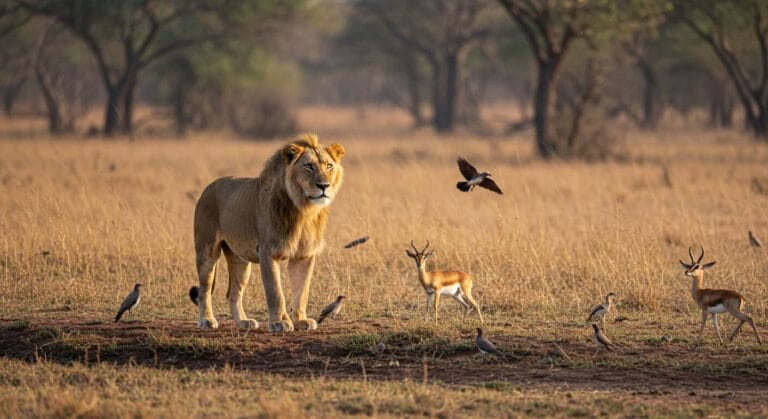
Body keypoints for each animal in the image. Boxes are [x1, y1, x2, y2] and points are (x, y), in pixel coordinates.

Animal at [189, 133, 345, 332]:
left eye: (329, 165)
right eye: (308, 166)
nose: (324, 185)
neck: (304, 209)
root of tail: (209, 187)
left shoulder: (304, 255)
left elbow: (302, 291)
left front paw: (301, 320)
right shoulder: (268, 251)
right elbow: (275, 292)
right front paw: (279, 323)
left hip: (240, 259)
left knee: (233, 293)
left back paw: (243, 322)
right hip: (207, 251)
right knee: (204, 289)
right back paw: (207, 320)